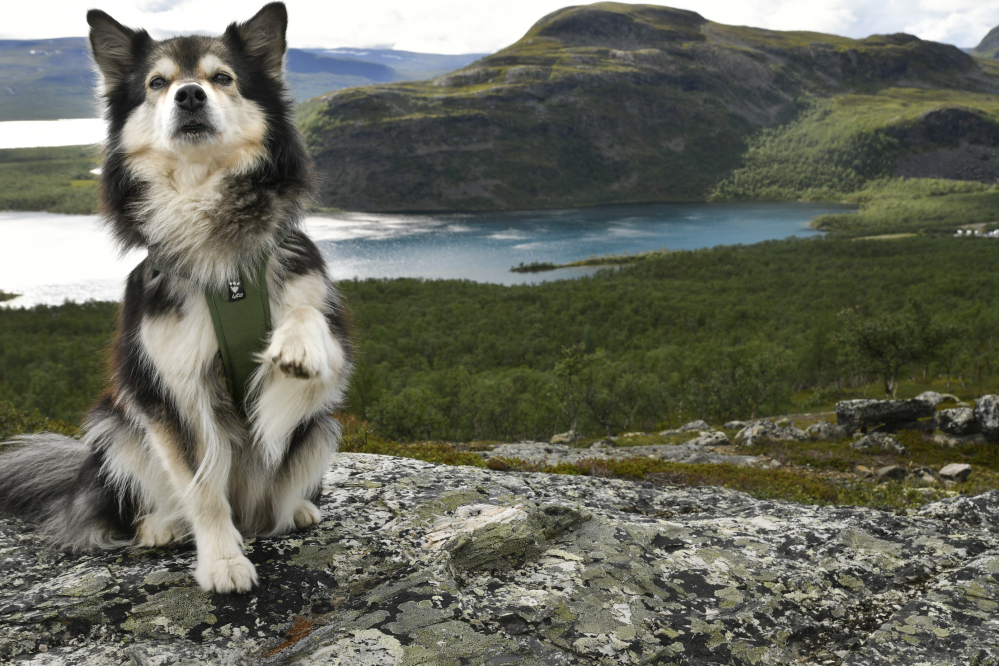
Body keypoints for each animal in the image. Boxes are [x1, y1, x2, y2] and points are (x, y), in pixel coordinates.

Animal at [0, 1, 352, 592]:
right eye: (157, 83)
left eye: (223, 77)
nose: (189, 95)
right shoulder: (171, 386)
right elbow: (202, 488)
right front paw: (224, 562)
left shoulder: (326, 344)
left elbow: (308, 329)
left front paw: (295, 347)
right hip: (115, 422)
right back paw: (160, 525)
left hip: (322, 432)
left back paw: (297, 509)